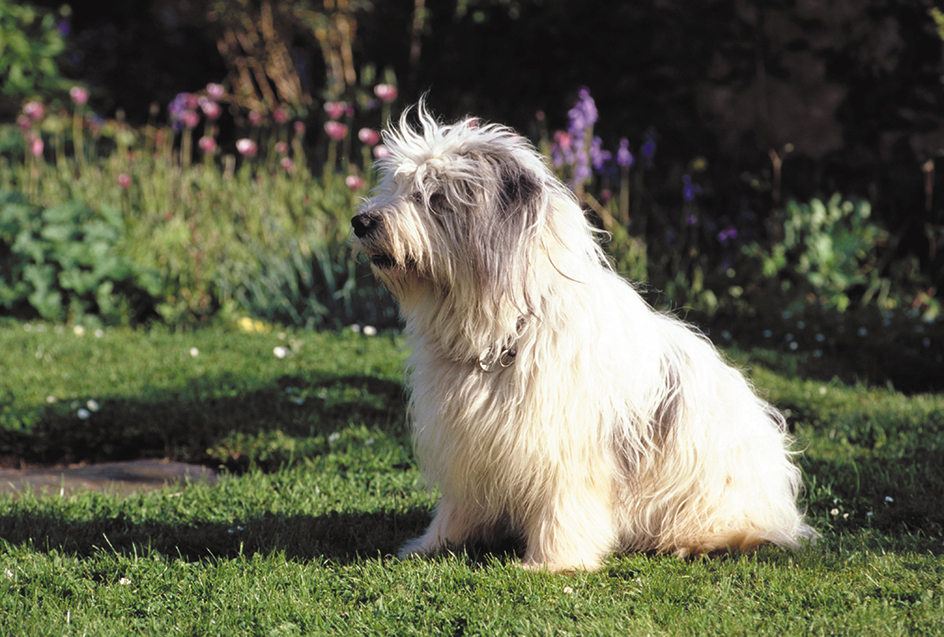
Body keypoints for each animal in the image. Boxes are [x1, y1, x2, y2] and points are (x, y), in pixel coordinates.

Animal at [350, 105, 816, 572]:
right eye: (395, 185)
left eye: (434, 196)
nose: (360, 221)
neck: (502, 331)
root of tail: (783, 508)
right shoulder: (469, 441)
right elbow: (458, 507)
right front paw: (434, 544)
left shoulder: (565, 448)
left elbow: (563, 505)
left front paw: (551, 563)